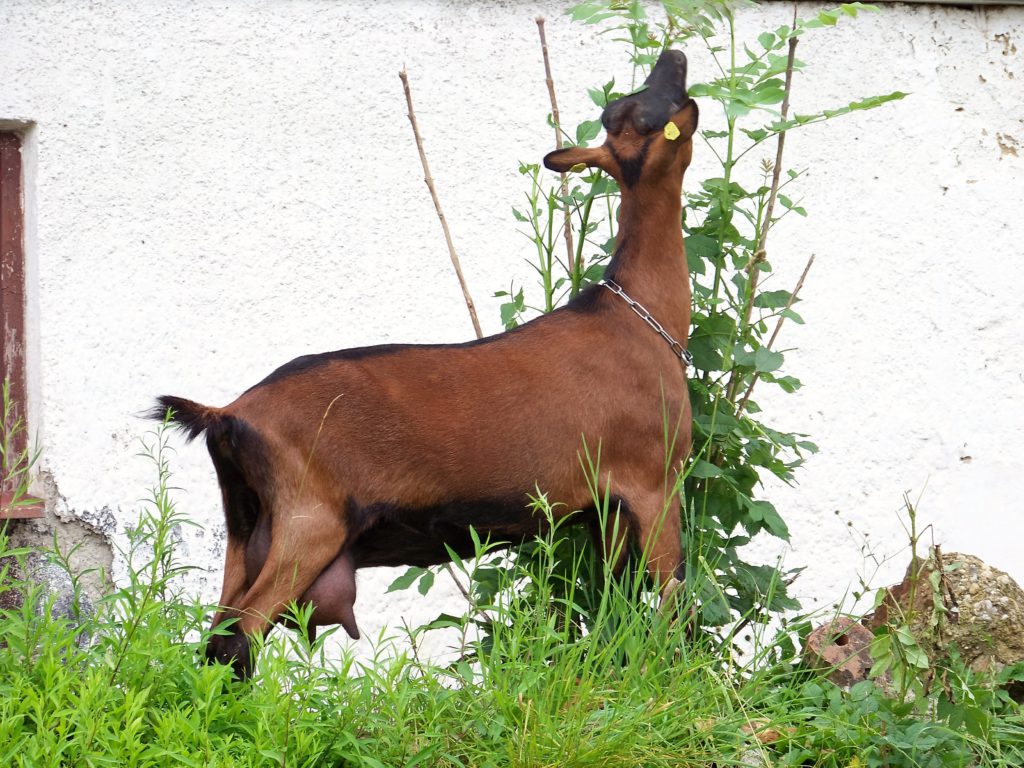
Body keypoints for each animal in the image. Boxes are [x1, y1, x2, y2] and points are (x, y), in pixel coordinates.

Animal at [153, 49, 696, 679]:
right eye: (643, 112)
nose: (675, 55)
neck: (635, 315)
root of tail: (227, 414)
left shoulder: (605, 508)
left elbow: (613, 602)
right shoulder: (655, 482)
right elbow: (674, 603)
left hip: (247, 528)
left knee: (218, 638)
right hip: (308, 523)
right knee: (237, 639)